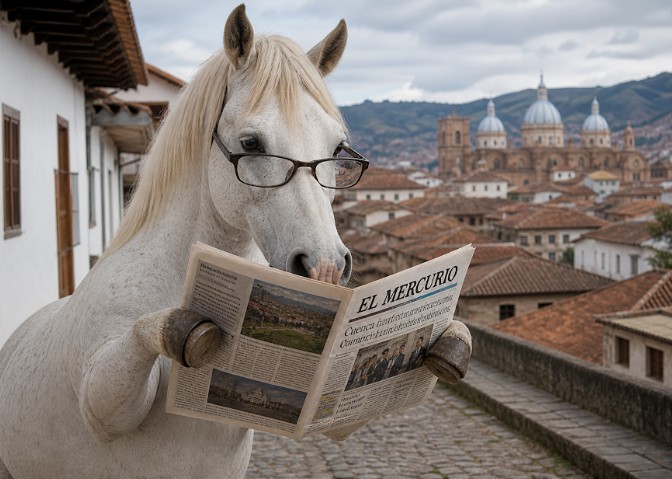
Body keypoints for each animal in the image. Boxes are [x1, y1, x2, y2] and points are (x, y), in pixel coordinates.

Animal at [0, 5, 471, 478]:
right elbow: (141, 343)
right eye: (251, 142)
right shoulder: (99, 403)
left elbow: (347, 415)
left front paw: (448, 341)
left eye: (338, 148)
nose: (324, 267)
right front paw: (188, 329)